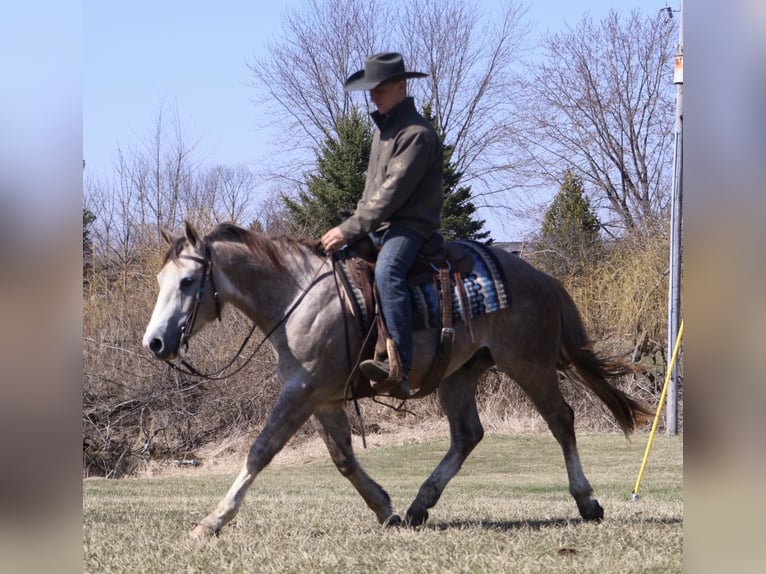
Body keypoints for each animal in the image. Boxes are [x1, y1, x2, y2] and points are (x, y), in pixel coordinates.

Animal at [142, 221, 649, 537]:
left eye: (187, 282)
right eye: (161, 281)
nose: (156, 343)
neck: (297, 297)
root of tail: (541, 276)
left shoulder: (302, 391)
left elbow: (260, 451)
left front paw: (213, 520)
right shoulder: (323, 398)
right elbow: (344, 459)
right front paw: (385, 509)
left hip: (531, 365)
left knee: (561, 421)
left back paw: (586, 501)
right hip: (460, 374)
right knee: (467, 435)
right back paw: (420, 504)